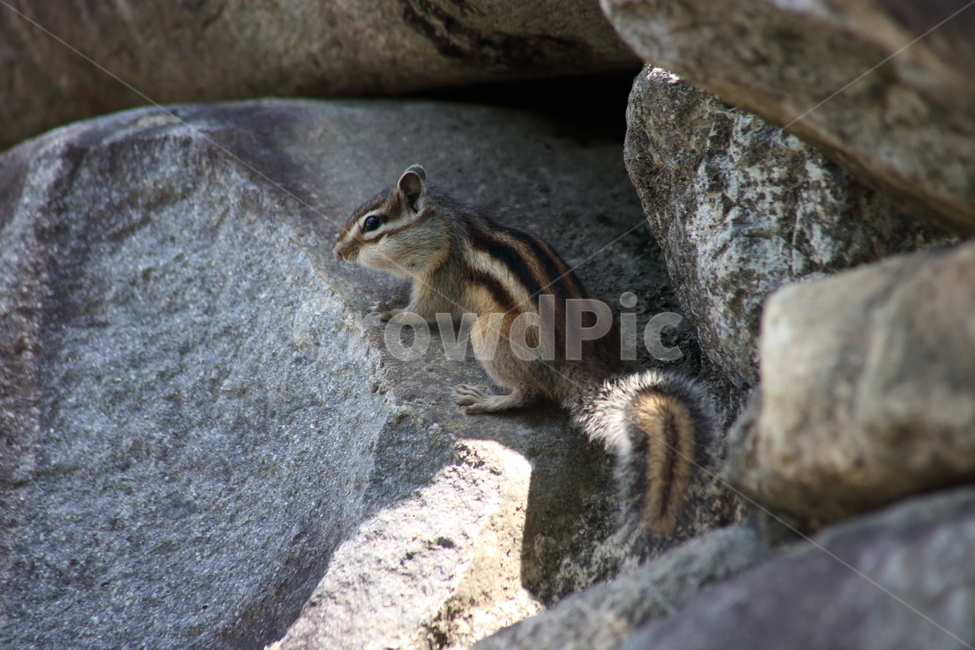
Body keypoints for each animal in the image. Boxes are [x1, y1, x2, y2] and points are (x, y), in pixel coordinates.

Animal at [333, 165, 715, 536]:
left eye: (372, 223)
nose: (336, 252)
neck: (446, 228)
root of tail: (575, 363)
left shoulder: (443, 276)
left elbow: (422, 311)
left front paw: (391, 313)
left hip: (489, 335)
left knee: (529, 393)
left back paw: (487, 400)